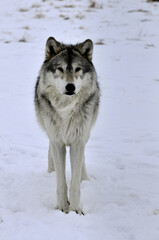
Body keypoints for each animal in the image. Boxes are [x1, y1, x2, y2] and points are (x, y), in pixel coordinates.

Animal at [34, 36, 100, 215]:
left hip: (86, 133)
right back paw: (50, 172)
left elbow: (75, 183)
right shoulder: (57, 142)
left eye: (77, 69)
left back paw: (86, 178)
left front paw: (76, 210)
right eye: (60, 69)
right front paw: (62, 207)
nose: (70, 87)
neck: (66, 109)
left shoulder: (78, 141)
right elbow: (61, 182)